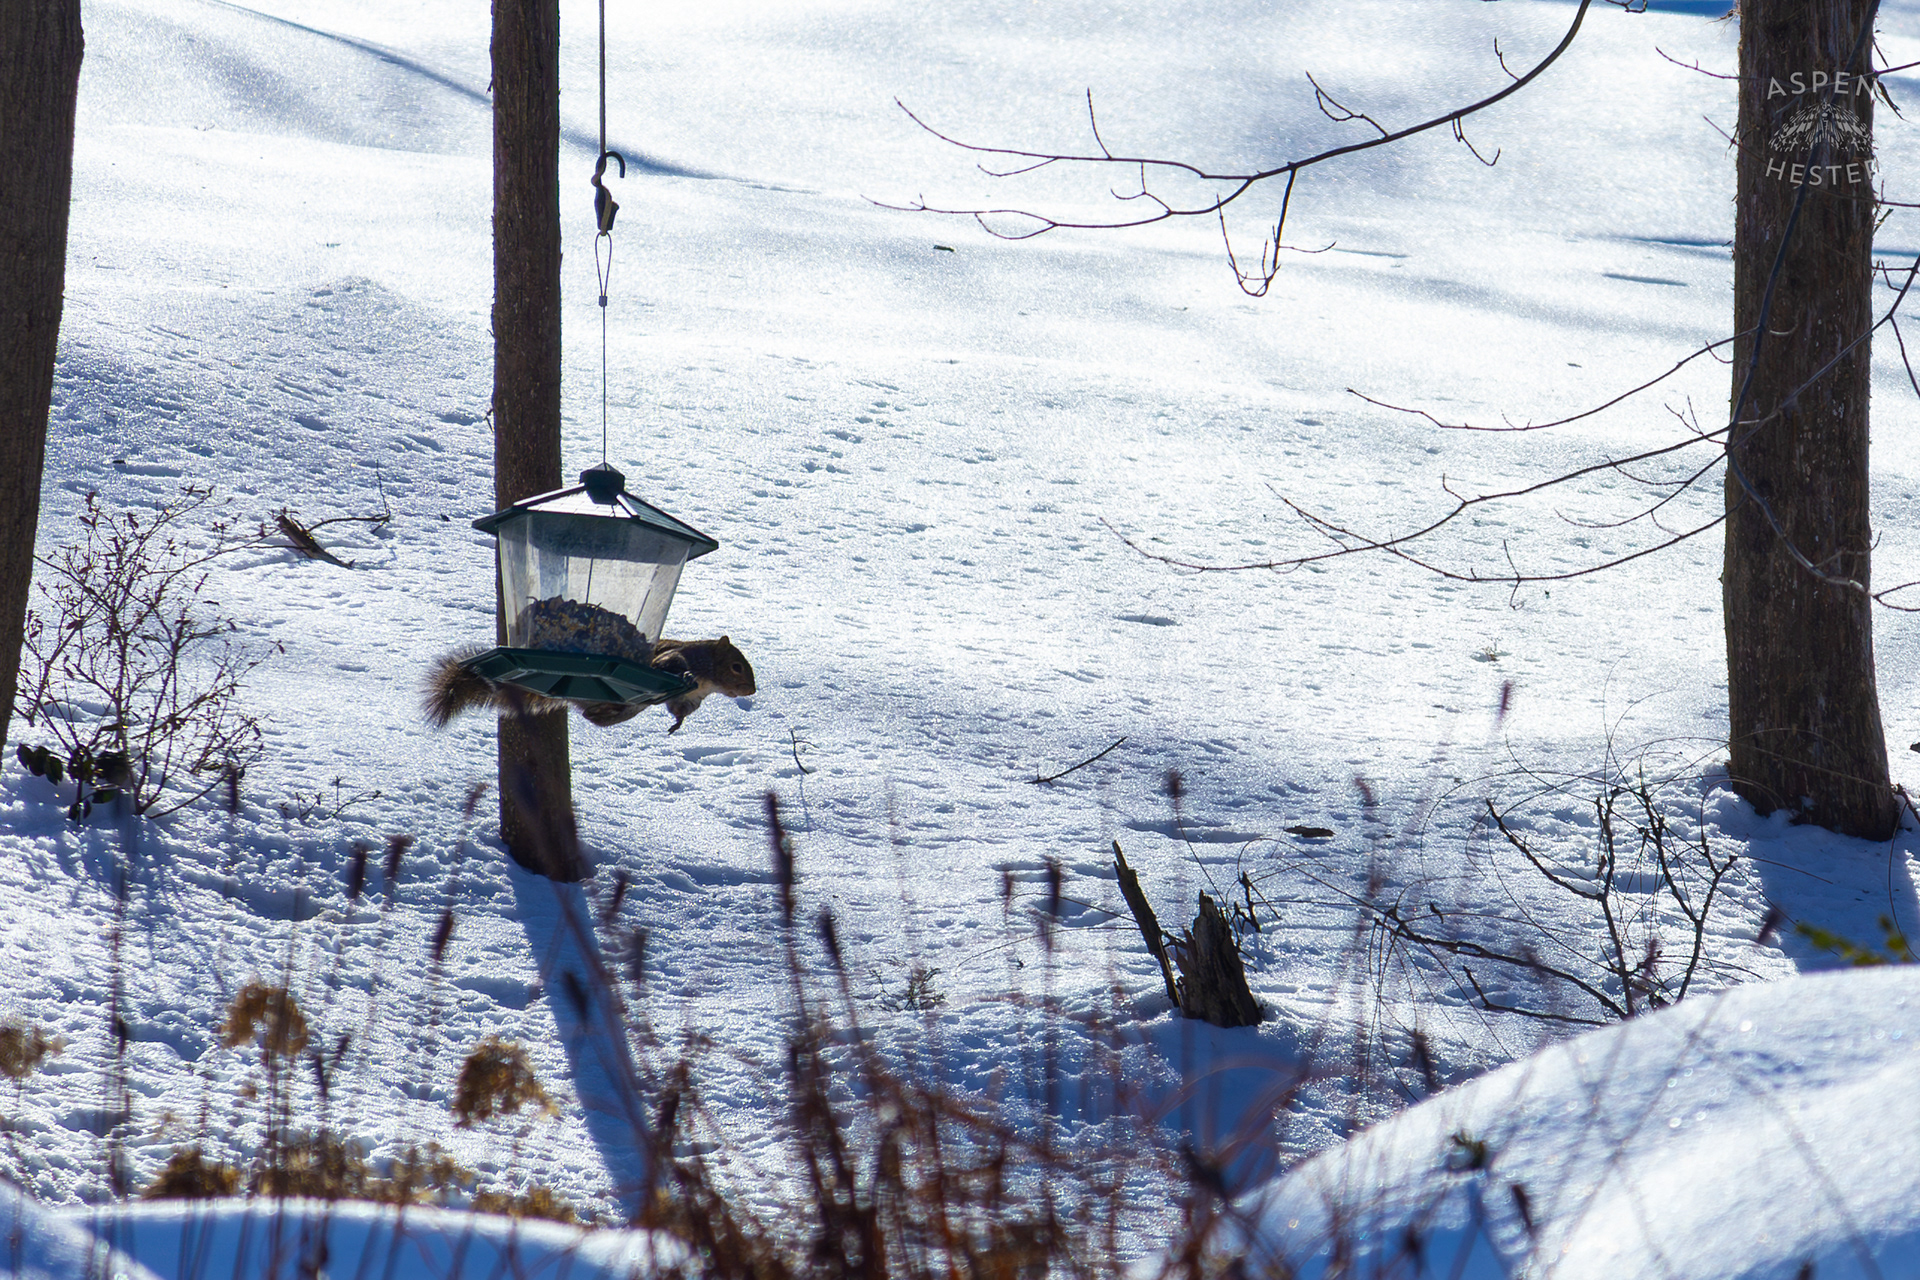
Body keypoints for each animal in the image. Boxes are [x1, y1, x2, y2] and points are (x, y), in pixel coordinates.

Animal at [423, 637, 755, 734]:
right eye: (736, 667)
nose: (751, 691)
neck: (708, 679)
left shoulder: (689, 700)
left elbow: (679, 709)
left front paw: (677, 725)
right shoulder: (674, 658)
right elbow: (672, 667)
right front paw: (685, 678)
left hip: (625, 710)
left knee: (593, 717)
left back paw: (600, 712)